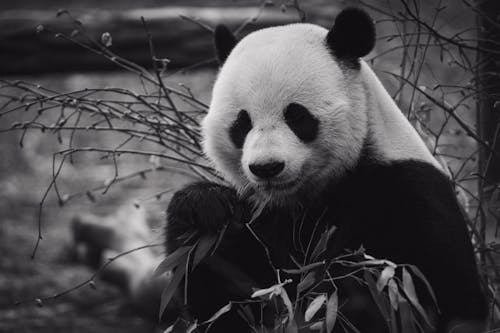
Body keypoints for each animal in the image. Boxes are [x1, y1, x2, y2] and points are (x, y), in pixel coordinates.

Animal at [166, 7, 486, 332]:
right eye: (242, 123)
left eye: (297, 116)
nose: (267, 167)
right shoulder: (264, 216)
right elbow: (224, 301)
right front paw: (205, 207)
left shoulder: (409, 195)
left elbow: (417, 296)